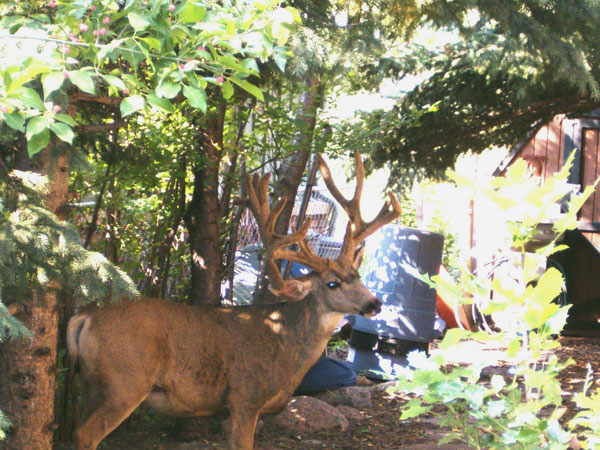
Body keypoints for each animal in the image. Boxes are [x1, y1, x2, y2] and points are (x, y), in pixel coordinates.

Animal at [68, 149, 400, 448]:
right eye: (332, 283)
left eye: (358, 275)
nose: (375, 304)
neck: (285, 345)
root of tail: (85, 316)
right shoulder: (245, 397)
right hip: (125, 380)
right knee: (85, 434)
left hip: (91, 383)